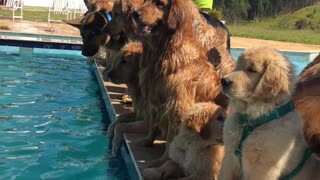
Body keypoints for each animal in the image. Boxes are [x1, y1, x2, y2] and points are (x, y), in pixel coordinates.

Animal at [219, 46, 320, 180]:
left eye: (252, 70)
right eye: (237, 66)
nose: (223, 81)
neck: (252, 121)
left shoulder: (263, 169)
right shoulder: (229, 159)